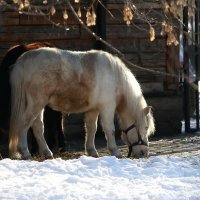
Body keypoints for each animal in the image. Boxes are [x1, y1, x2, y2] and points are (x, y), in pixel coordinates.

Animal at [8, 47, 155, 159]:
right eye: (145, 127)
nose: (144, 152)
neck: (114, 76)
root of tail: (24, 60)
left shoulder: (93, 109)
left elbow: (91, 128)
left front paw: (91, 151)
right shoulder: (107, 107)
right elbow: (110, 129)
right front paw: (115, 151)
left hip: (39, 106)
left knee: (37, 127)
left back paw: (47, 153)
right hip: (36, 103)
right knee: (25, 124)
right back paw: (25, 152)